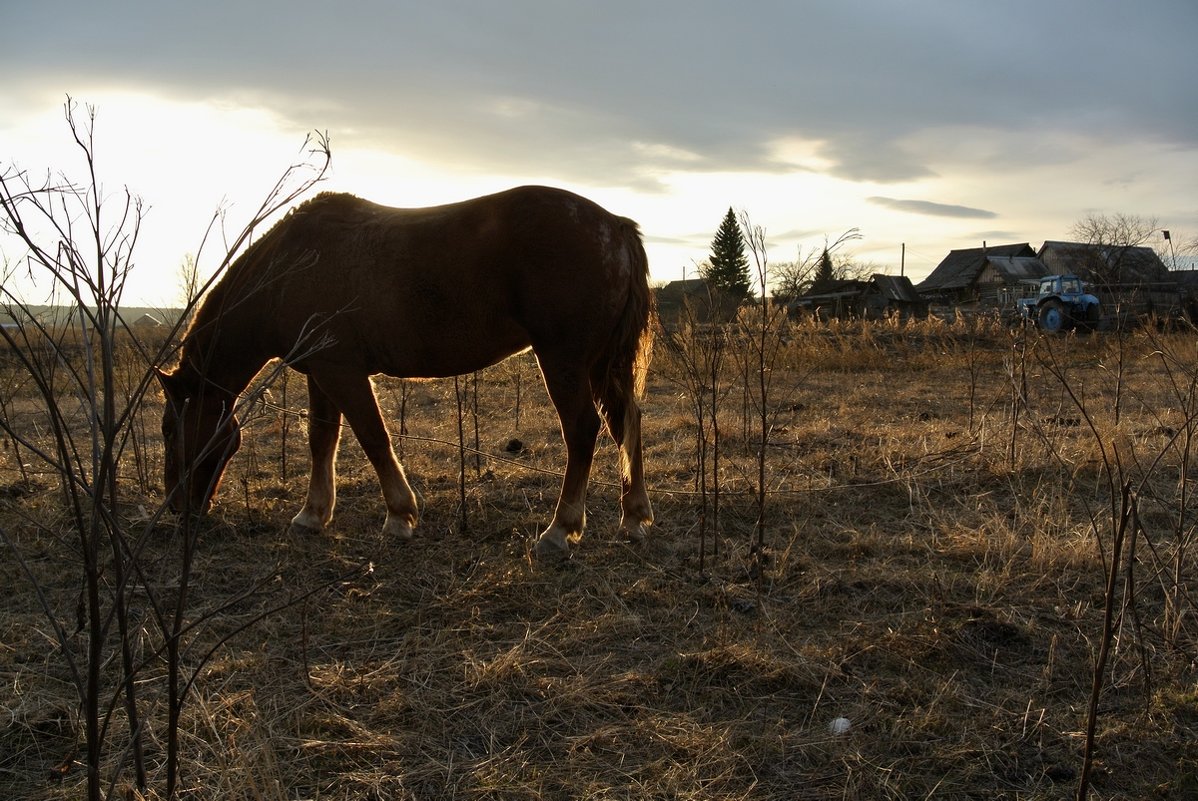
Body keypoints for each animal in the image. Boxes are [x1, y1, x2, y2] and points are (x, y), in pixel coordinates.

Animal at [156, 185, 656, 562]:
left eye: (169, 428)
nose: (178, 508)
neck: (291, 268)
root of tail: (614, 225)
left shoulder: (342, 371)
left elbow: (373, 437)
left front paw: (399, 516)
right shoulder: (320, 373)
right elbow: (322, 439)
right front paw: (312, 515)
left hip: (563, 360)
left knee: (582, 431)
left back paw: (558, 531)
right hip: (599, 365)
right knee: (625, 424)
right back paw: (633, 517)